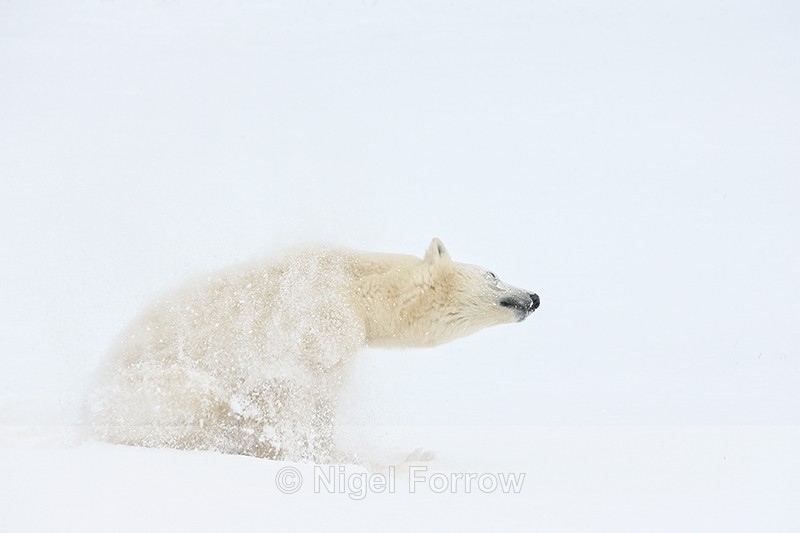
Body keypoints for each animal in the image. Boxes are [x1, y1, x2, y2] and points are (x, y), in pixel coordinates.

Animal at [86, 238, 539, 463]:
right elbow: (292, 384)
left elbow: (323, 396)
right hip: (146, 385)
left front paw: (408, 454)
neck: (359, 285)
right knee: (192, 396)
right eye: (493, 273)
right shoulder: (320, 309)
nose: (533, 296)